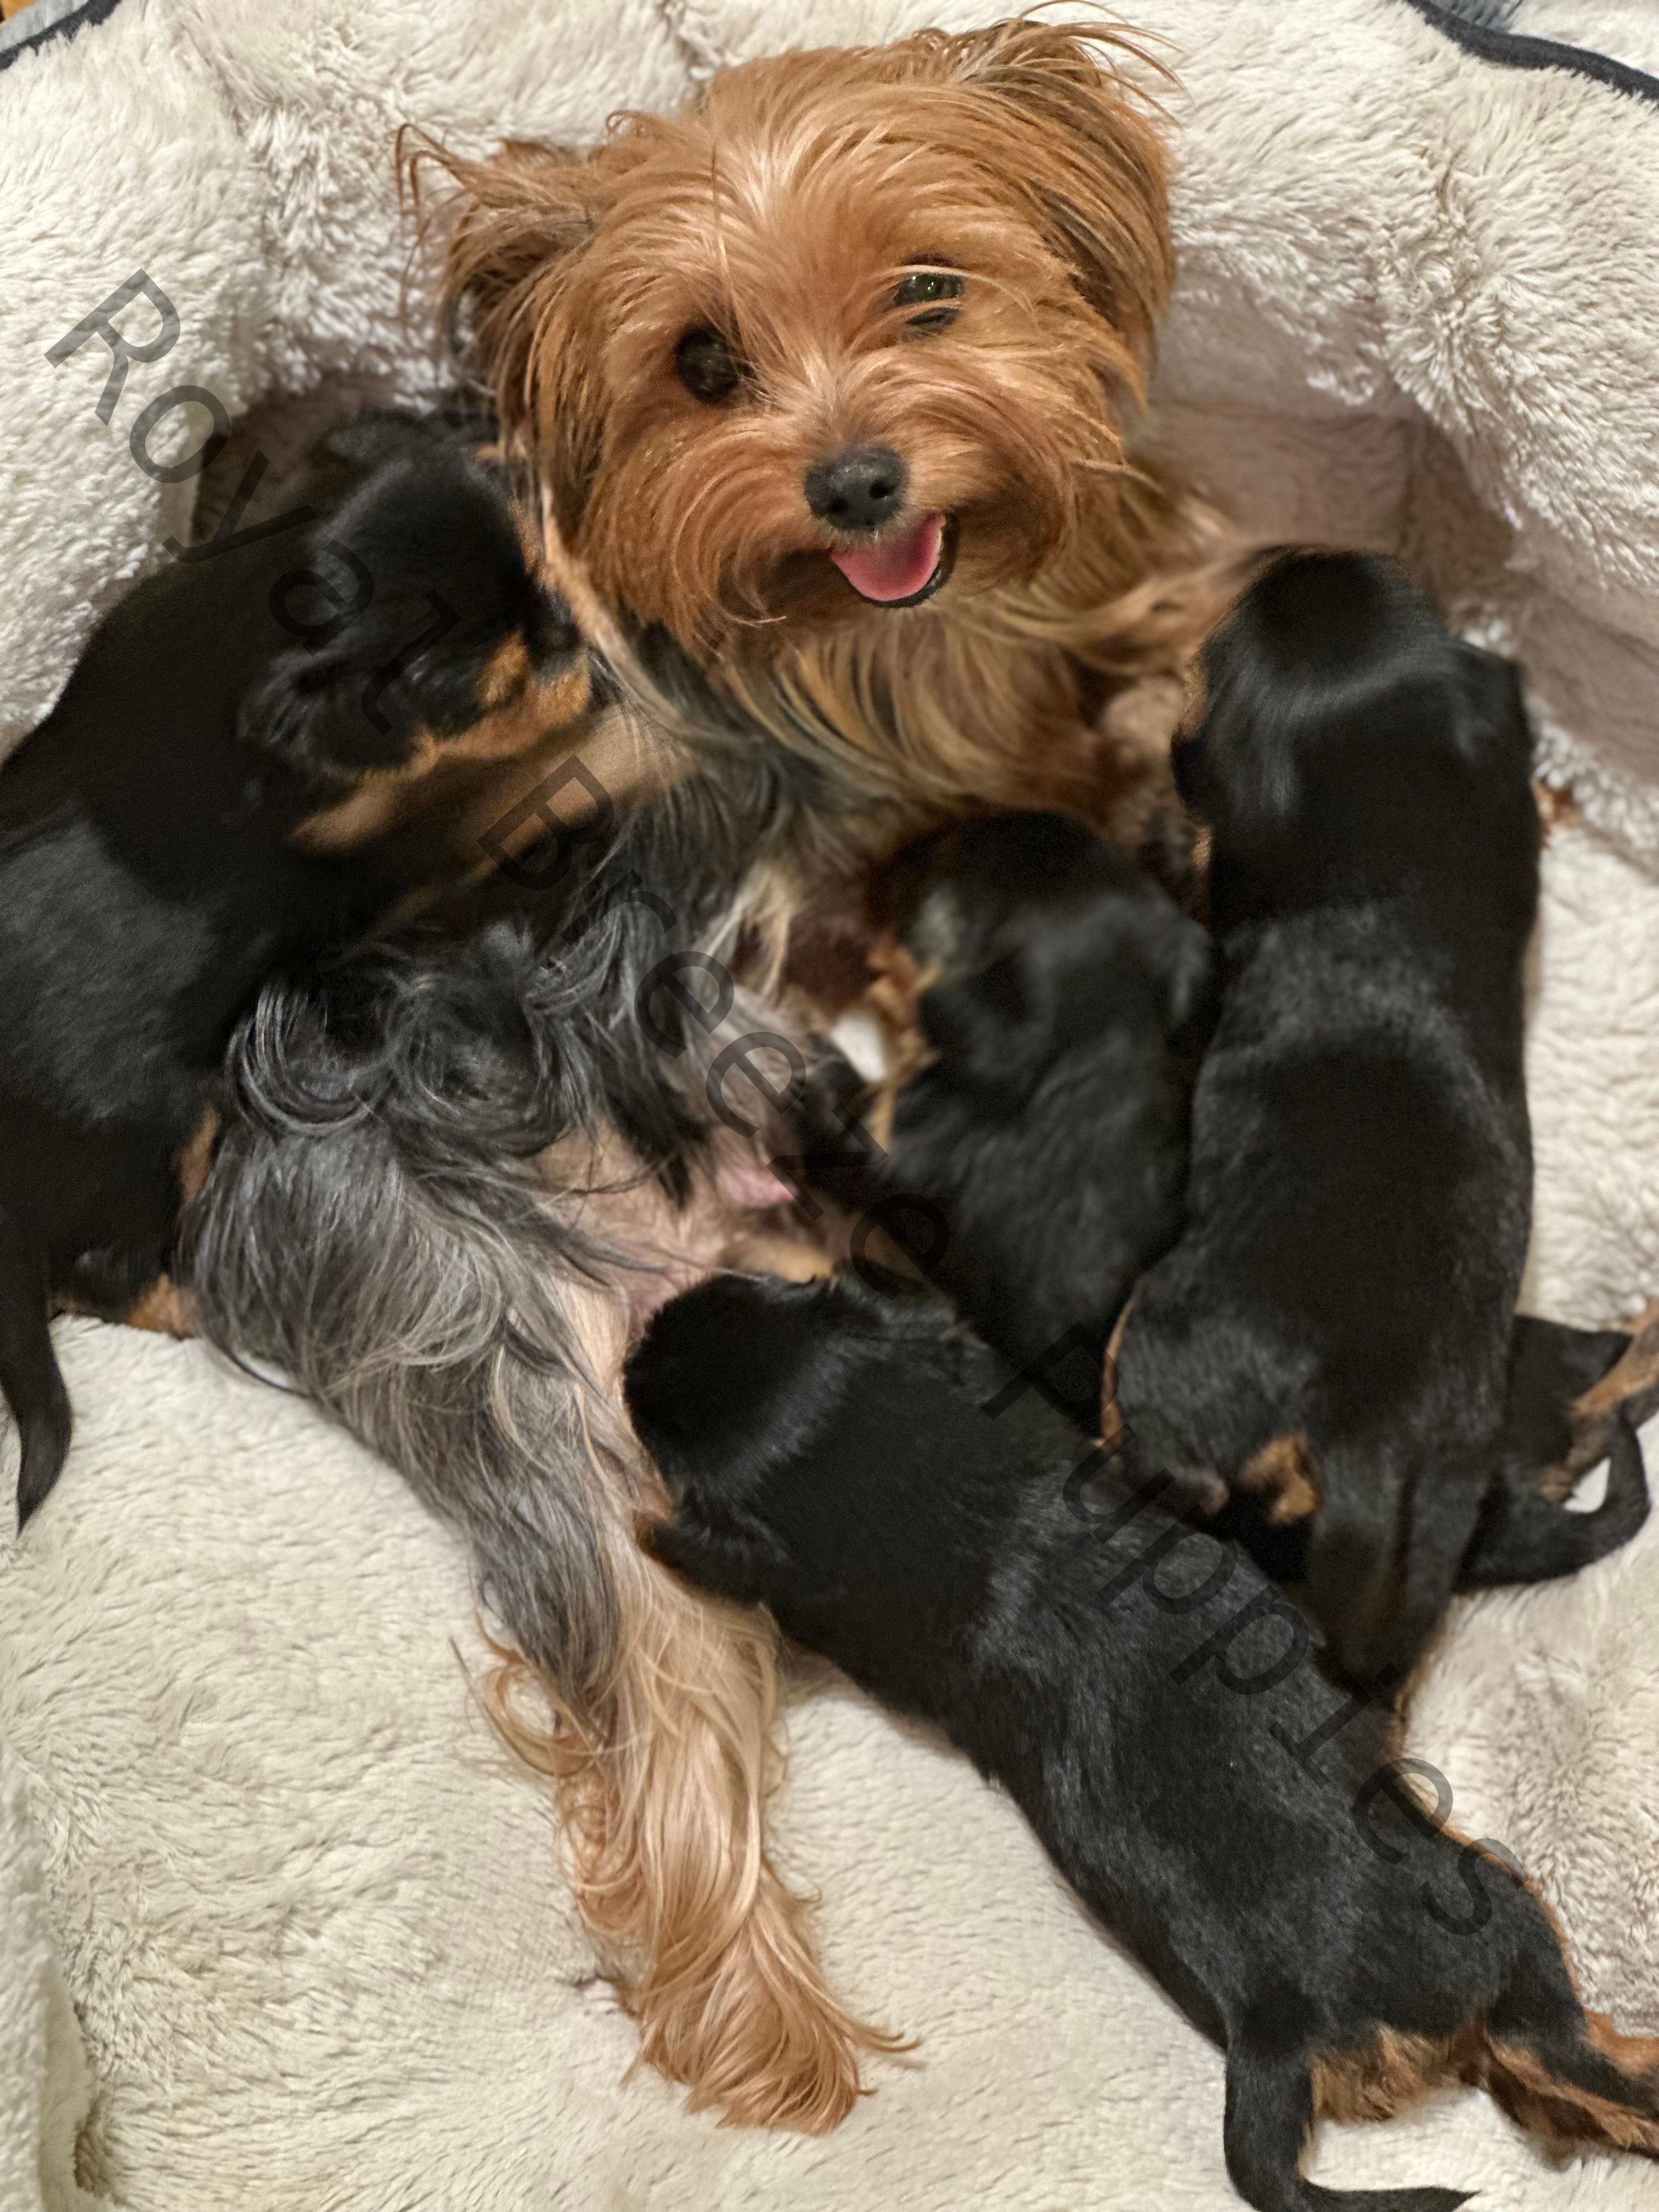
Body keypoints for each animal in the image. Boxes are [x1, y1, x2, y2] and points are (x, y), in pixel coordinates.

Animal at [0, 406, 596, 1525]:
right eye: (491, 694)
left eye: (545, 574)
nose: (576, 640)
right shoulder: (378, 855)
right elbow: (478, 820)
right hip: (162, 1127)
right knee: (106, 1277)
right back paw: (205, 1303)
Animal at [625, 1269, 1659, 2212]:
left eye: (765, 1288)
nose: (642, 1342)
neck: (973, 1524)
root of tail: (1274, 2041)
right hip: (1497, 1906)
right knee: (1567, 2051)